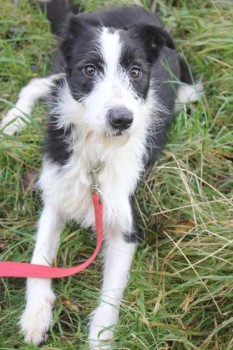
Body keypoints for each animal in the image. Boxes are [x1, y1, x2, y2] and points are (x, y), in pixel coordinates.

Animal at [0, 3, 202, 350]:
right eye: (90, 70)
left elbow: (110, 297)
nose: (122, 119)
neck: (99, 149)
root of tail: (128, 7)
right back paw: (14, 120)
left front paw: (99, 338)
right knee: (38, 84)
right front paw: (35, 316)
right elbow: (39, 259)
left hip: (186, 90)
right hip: (60, 69)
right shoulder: (56, 195)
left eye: (135, 72)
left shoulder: (126, 226)